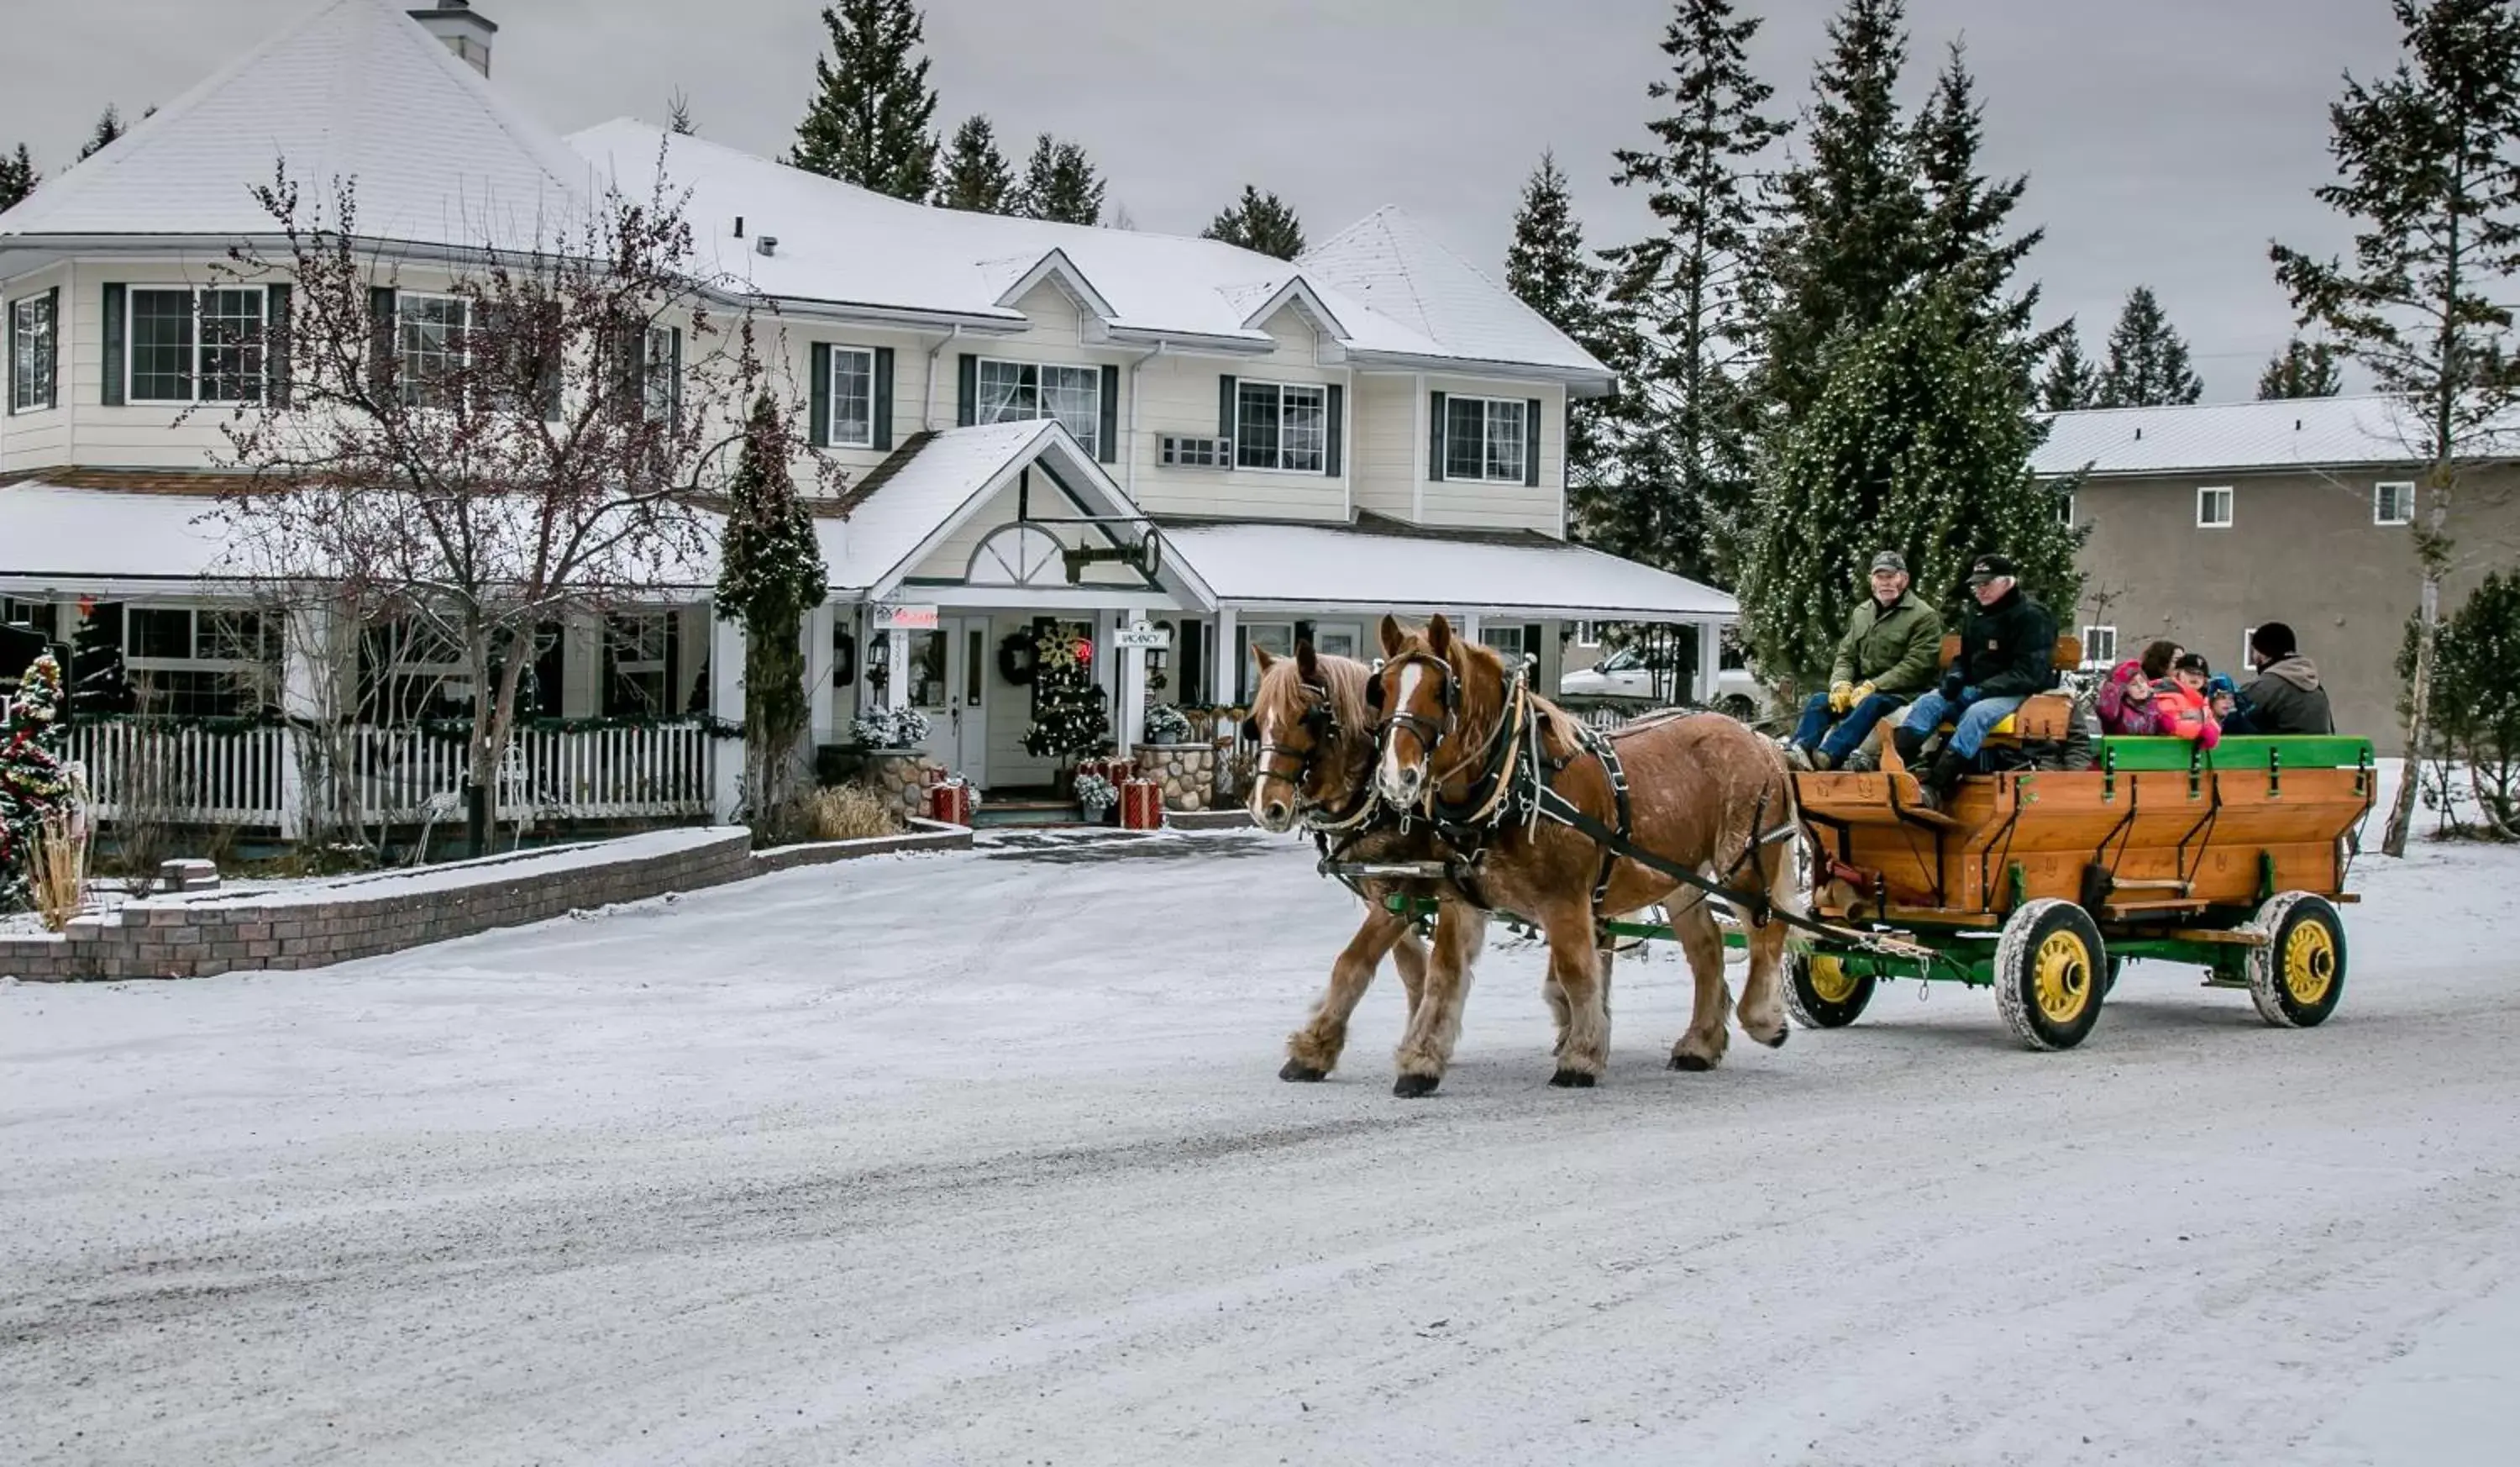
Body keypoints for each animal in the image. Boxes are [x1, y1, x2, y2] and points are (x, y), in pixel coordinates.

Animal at [1245, 645, 1482, 1094]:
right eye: (1256, 721)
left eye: (1307, 717)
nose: (1268, 806)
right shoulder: (1385, 893)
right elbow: (1412, 969)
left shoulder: (1418, 890)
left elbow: (1352, 964)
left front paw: (1313, 1050)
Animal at [1371, 615, 1804, 1099]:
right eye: (1382, 689)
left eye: (1439, 691)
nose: (1397, 777)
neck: (1515, 780)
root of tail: (1759, 738)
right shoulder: (1461, 900)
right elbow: (1443, 975)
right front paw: (1421, 1062)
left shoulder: (1564, 899)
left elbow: (1577, 971)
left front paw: (1581, 1056)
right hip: (1682, 877)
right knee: (1707, 947)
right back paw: (1700, 1043)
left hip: (1744, 863)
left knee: (1767, 932)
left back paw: (1763, 1019)